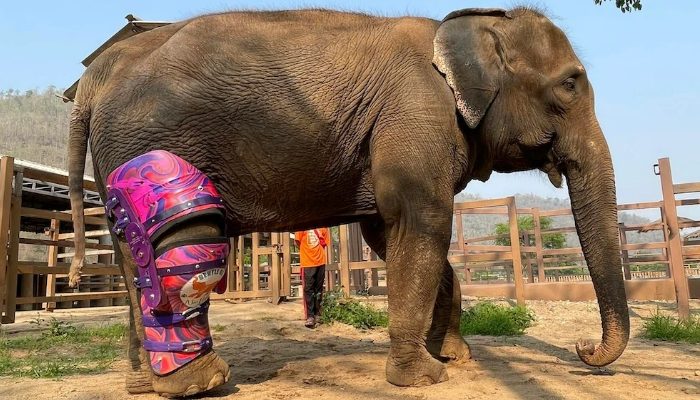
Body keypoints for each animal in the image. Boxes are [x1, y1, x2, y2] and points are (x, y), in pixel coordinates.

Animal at [68, 7, 632, 398]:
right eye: (569, 84)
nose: (583, 349)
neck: (463, 26)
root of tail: (94, 84)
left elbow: (389, 232)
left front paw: (455, 356)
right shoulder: (417, 115)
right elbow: (422, 222)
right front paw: (424, 377)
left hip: (117, 160)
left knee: (130, 254)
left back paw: (145, 385)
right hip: (154, 147)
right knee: (186, 235)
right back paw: (202, 382)